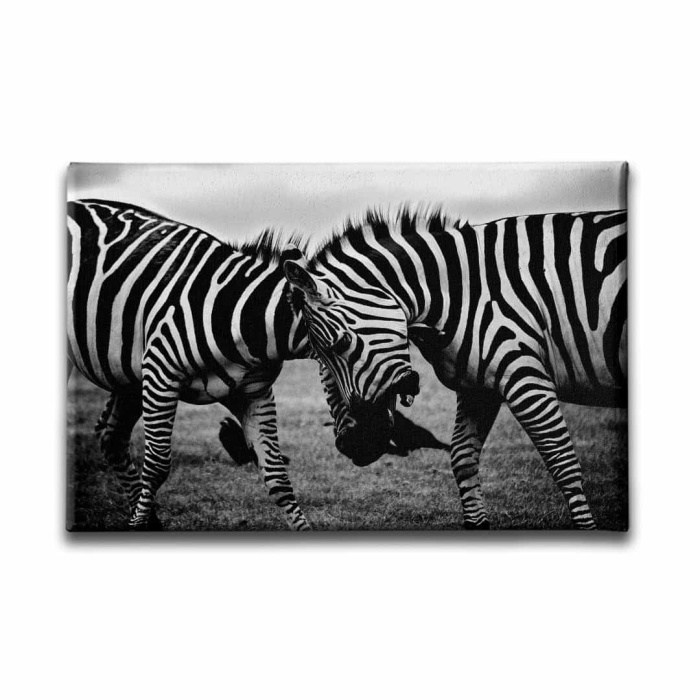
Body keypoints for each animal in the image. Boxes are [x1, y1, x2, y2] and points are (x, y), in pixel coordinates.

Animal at [282, 208, 627, 529]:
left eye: (340, 344)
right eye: (319, 360)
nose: (352, 445)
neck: (463, 294)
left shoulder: (524, 375)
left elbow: (562, 463)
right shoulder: (478, 387)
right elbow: (462, 457)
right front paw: (476, 523)